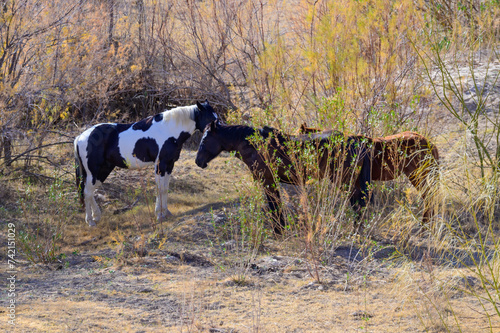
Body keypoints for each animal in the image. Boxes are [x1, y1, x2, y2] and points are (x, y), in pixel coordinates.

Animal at [73, 100, 217, 226]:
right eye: (212, 119)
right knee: (87, 192)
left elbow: (165, 188)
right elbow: (160, 188)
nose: (216, 131)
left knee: (90, 192)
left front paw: (166, 212)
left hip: (103, 170)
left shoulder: (169, 165)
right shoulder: (160, 165)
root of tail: (80, 137)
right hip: (94, 171)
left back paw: (96, 217)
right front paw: (159, 215)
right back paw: (90, 221)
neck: (169, 130)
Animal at [195, 120, 372, 232]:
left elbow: (274, 207)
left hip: (344, 181)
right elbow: (276, 206)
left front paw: (279, 231)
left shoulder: (268, 182)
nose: (198, 161)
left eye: (205, 140)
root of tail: (357, 140)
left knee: (357, 202)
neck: (255, 145)